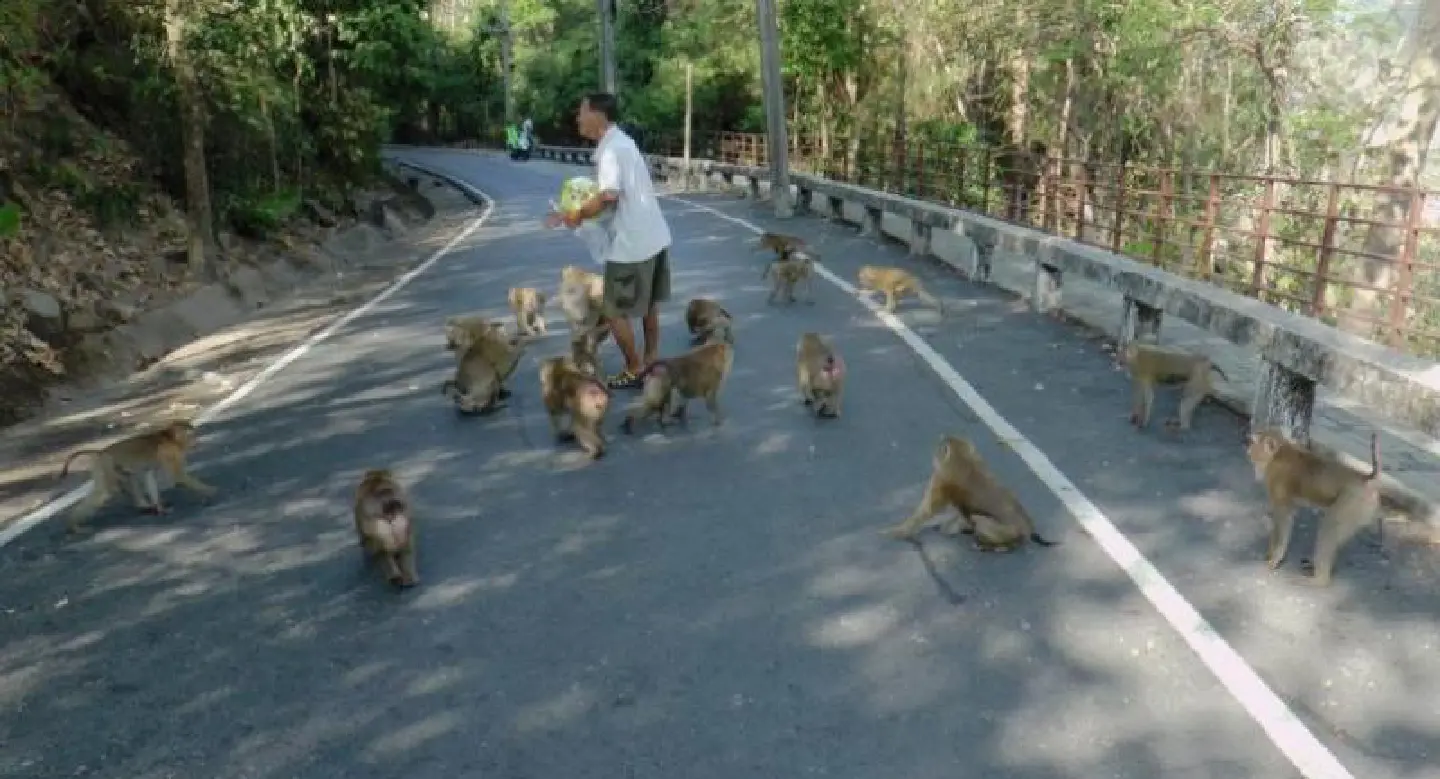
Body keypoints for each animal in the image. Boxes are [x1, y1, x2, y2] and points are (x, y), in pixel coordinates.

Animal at [59, 419, 216, 533]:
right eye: (191, 435)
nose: (196, 441)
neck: (170, 437)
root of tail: (101, 452)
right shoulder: (170, 452)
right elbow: (179, 477)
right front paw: (209, 491)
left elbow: (149, 476)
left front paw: (160, 509)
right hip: (106, 465)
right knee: (106, 491)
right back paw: (73, 524)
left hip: (106, 467)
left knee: (126, 478)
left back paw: (145, 506)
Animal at [882, 435, 1060, 551]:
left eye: (940, 447)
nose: (934, 452)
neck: (963, 459)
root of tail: (1028, 529)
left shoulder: (940, 480)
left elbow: (926, 510)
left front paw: (896, 531)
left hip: (1004, 530)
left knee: (980, 520)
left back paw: (993, 546)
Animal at [1245, 428, 1382, 586]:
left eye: (1253, 442)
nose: (1248, 450)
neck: (1278, 454)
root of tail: (1364, 478)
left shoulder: (1280, 491)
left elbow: (1283, 519)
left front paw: (1274, 558)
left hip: (1351, 504)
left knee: (1329, 531)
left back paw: (1319, 580)